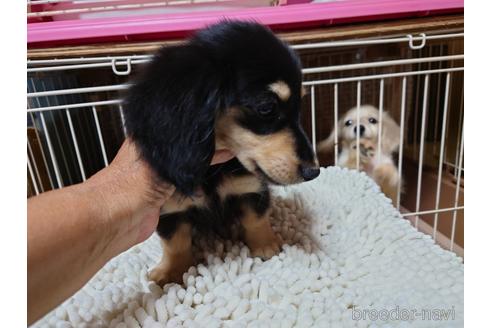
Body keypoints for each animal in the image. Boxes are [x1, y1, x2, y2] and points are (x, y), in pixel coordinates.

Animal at [124, 21, 320, 288]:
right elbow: (175, 242)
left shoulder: (251, 188)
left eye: (299, 107)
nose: (314, 171)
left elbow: (256, 219)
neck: (214, 168)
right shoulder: (170, 206)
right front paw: (170, 272)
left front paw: (266, 246)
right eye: (267, 107)